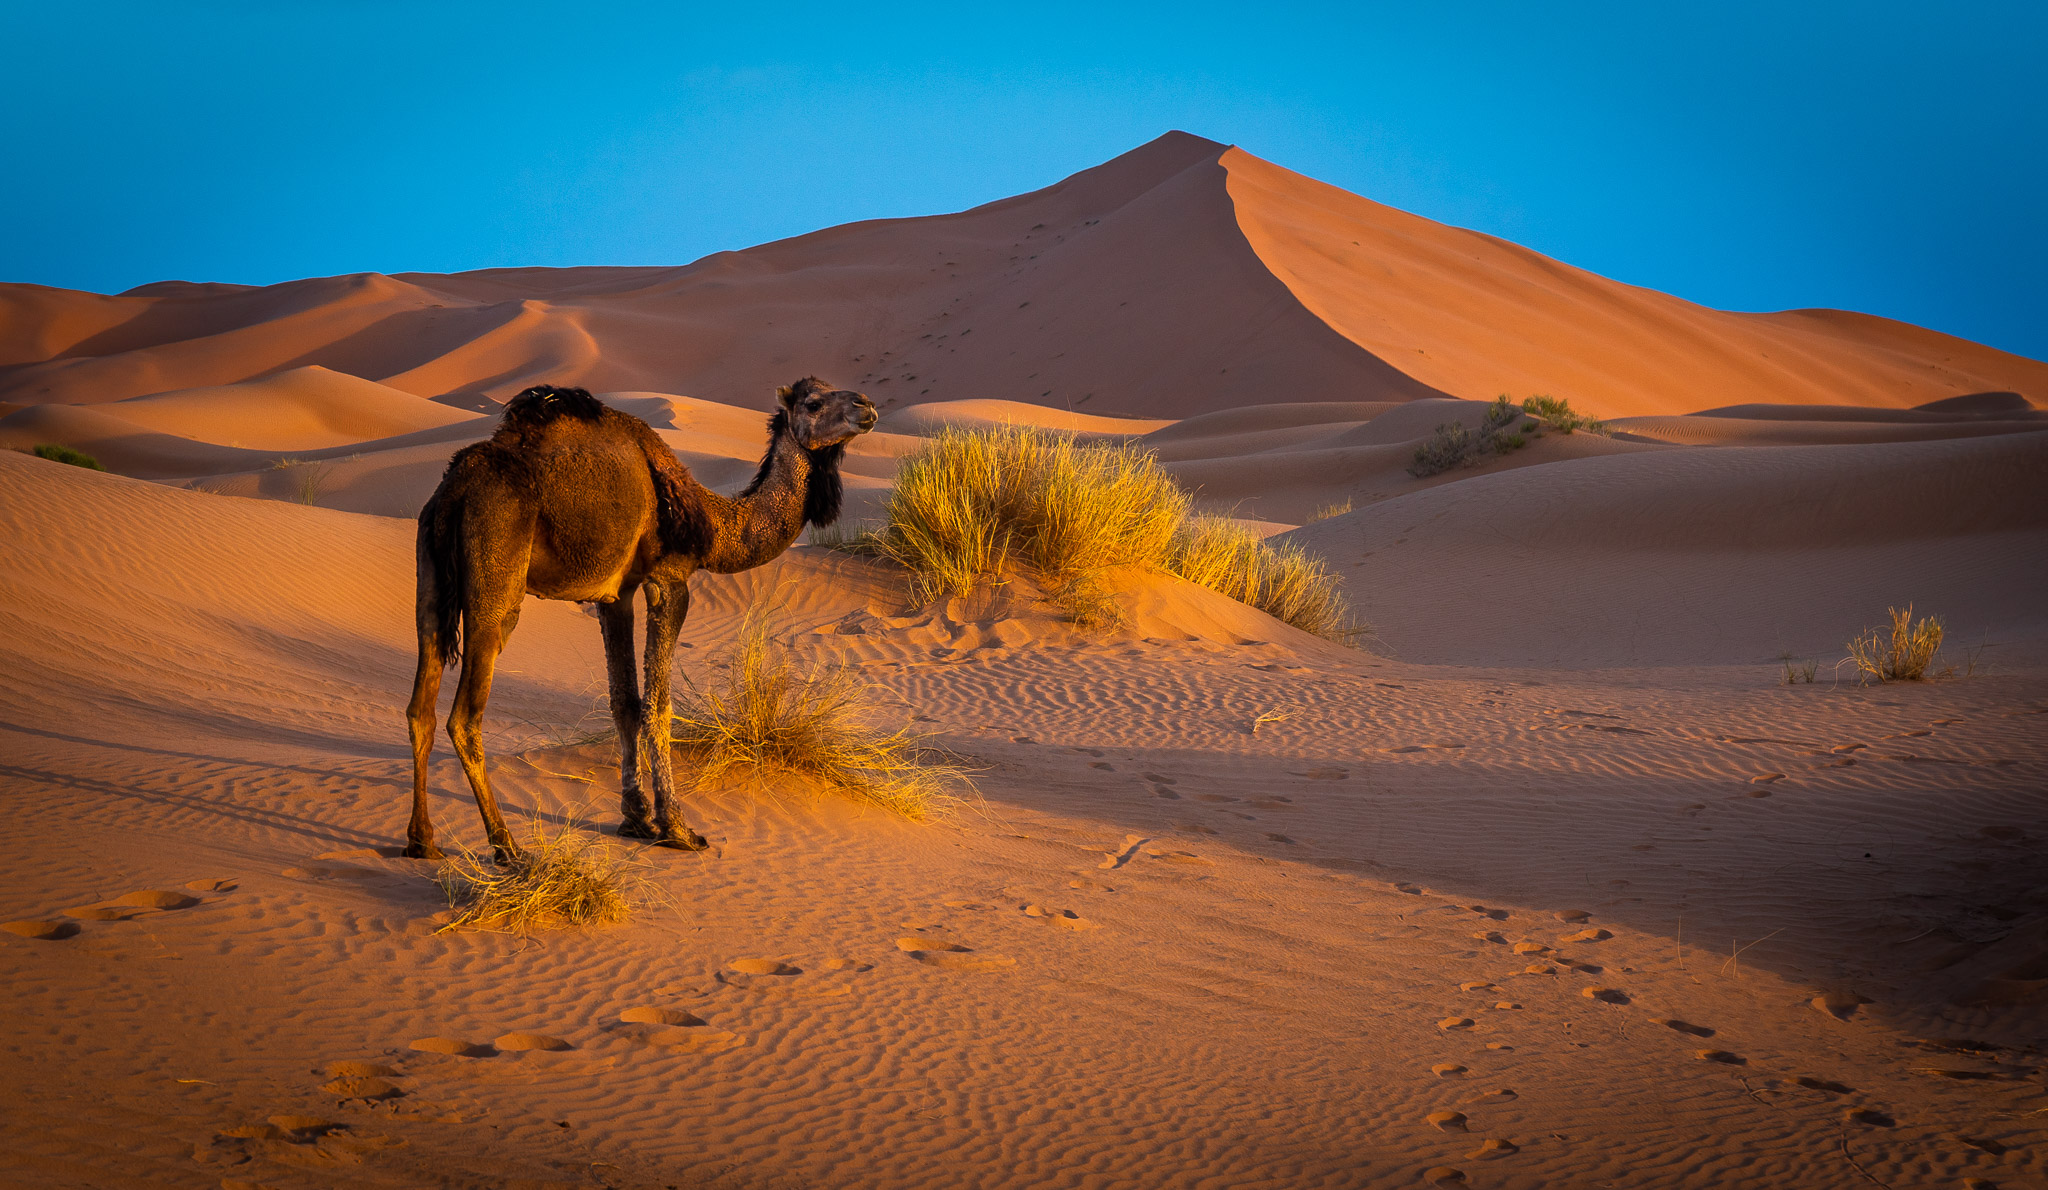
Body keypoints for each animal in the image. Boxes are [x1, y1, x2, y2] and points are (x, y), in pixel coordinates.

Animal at [403, 376, 876, 860]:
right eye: (814, 402)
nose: (867, 406)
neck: (712, 522)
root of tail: (454, 492)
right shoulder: (668, 580)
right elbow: (658, 706)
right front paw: (677, 827)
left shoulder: (616, 595)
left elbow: (626, 702)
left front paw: (636, 817)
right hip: (496, 576)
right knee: (464, 716)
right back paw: (507, 845)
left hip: (430, 580)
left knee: (421, 706)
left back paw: (422, 840)